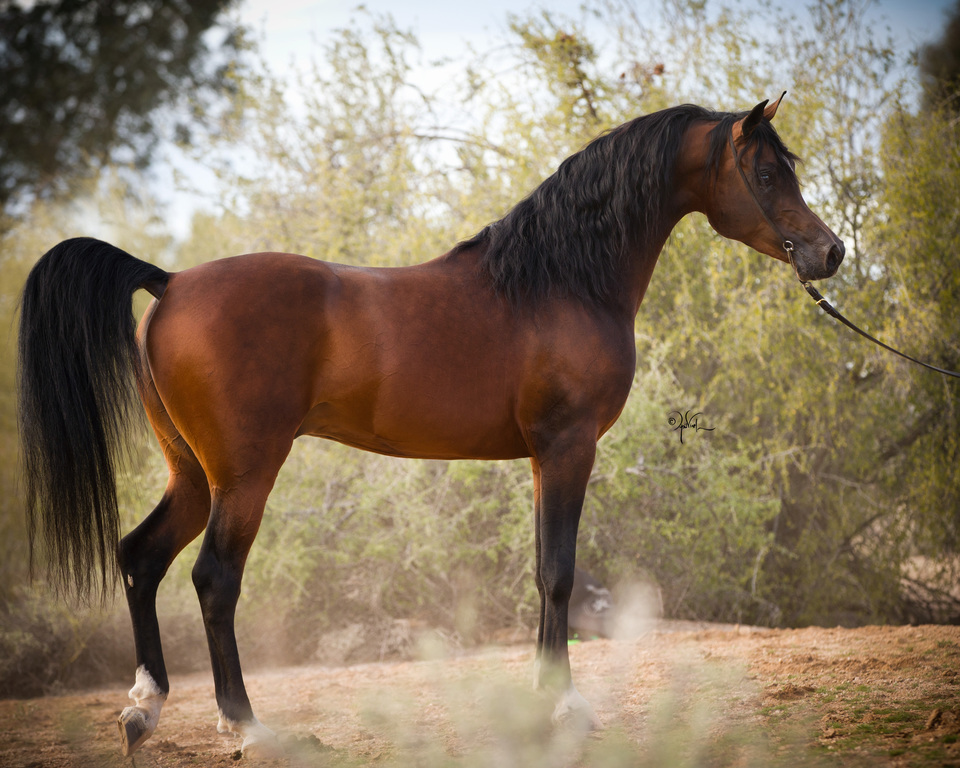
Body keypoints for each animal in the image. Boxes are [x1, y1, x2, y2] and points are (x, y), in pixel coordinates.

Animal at [17, 95, 844, 756]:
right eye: (765, 172)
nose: (830, 252)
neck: (561, 281)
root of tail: (170, 282)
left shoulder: (543, 458)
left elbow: (544, 571)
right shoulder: (567, 448)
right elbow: (559, 573)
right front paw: (565, 706)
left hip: (191, 473)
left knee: (141, 557)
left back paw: (144, 710)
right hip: (244, 475)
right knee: (213, 579)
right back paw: (245, 725)